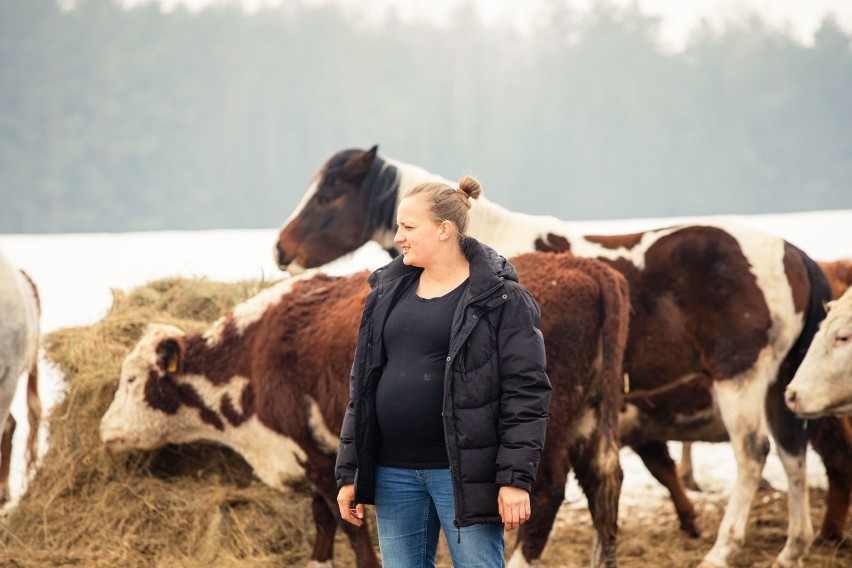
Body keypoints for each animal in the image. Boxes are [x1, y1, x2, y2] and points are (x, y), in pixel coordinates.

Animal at [101, 255, 632, 568]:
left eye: (131, 380)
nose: (105, 431)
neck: (254, 352)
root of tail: (588, 267)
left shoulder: (315, 454)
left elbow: (346, 526)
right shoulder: (319, 453)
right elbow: (321, 518)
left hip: (548, 422)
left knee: (547, 490)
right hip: (589, 417)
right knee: (603, 481)